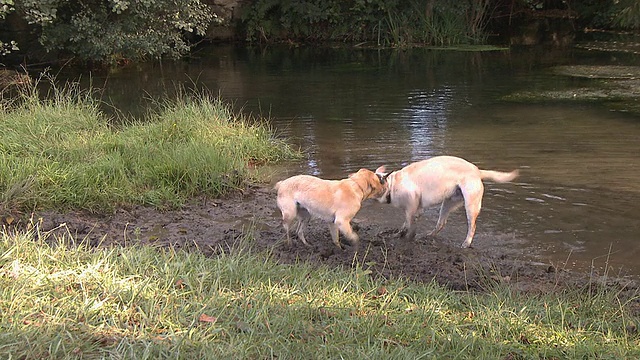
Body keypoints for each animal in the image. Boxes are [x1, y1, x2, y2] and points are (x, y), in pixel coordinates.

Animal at [378, 156, 516, 249]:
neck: (392, 184)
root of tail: (477, 171)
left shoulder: (412, 205)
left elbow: (408, 224)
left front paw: (406, 236)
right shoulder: (416, 210)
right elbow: (405, 224)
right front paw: (397, 234)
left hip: (471, 205)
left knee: (472, 226)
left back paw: (466, 243)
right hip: (448, 203)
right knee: (441, 223)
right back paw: (429, 236)